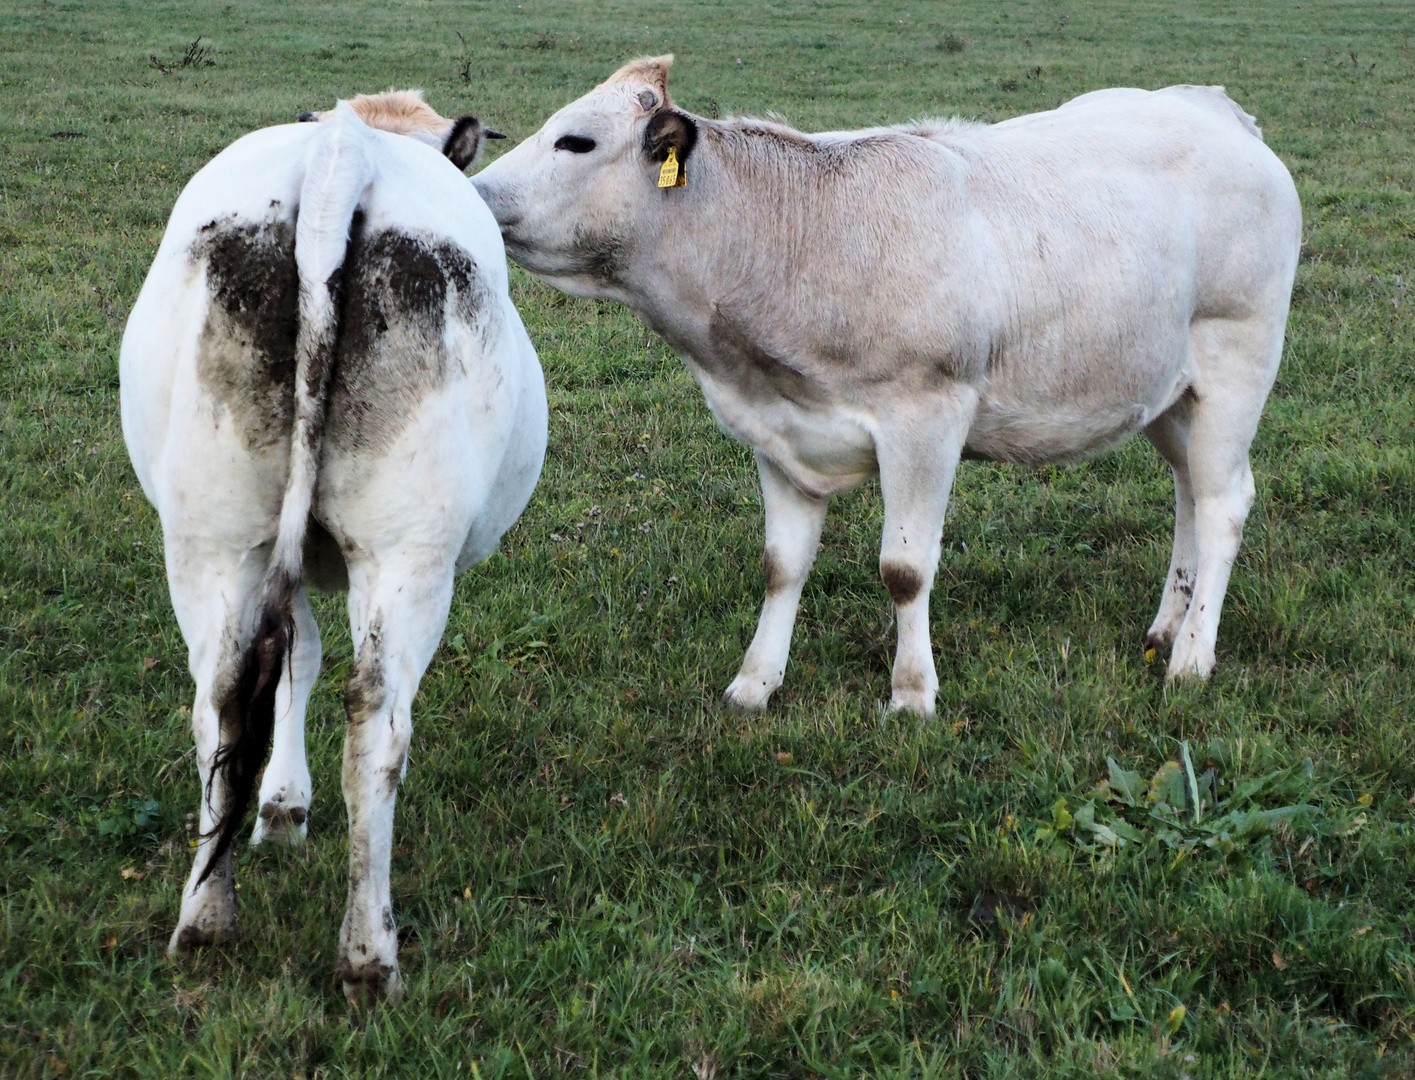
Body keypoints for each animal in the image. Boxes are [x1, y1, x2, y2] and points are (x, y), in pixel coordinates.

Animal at [121, 94, 546, 1007]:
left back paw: (204, 923)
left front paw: (279, 808)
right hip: (407, 553)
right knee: (376, 720)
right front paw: (288, 809)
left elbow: (292, 657)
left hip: (212, 538)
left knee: (218, 700)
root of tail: (340, 151)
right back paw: (368, 956)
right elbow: (310, 660)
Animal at [475, 56, 1301, 719]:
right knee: (1189, 490)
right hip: (1165, 389)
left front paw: (910, 695)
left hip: (1238, 358)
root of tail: (1210, 106)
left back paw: (1191, 657)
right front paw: (754, 685)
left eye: (575, 141)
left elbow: (903, 571)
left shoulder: (925, 418)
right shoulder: (776, 431)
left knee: (1223, 503)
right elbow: (781, 566)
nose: (472, 190)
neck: (796, 240)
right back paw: (1167, 624)